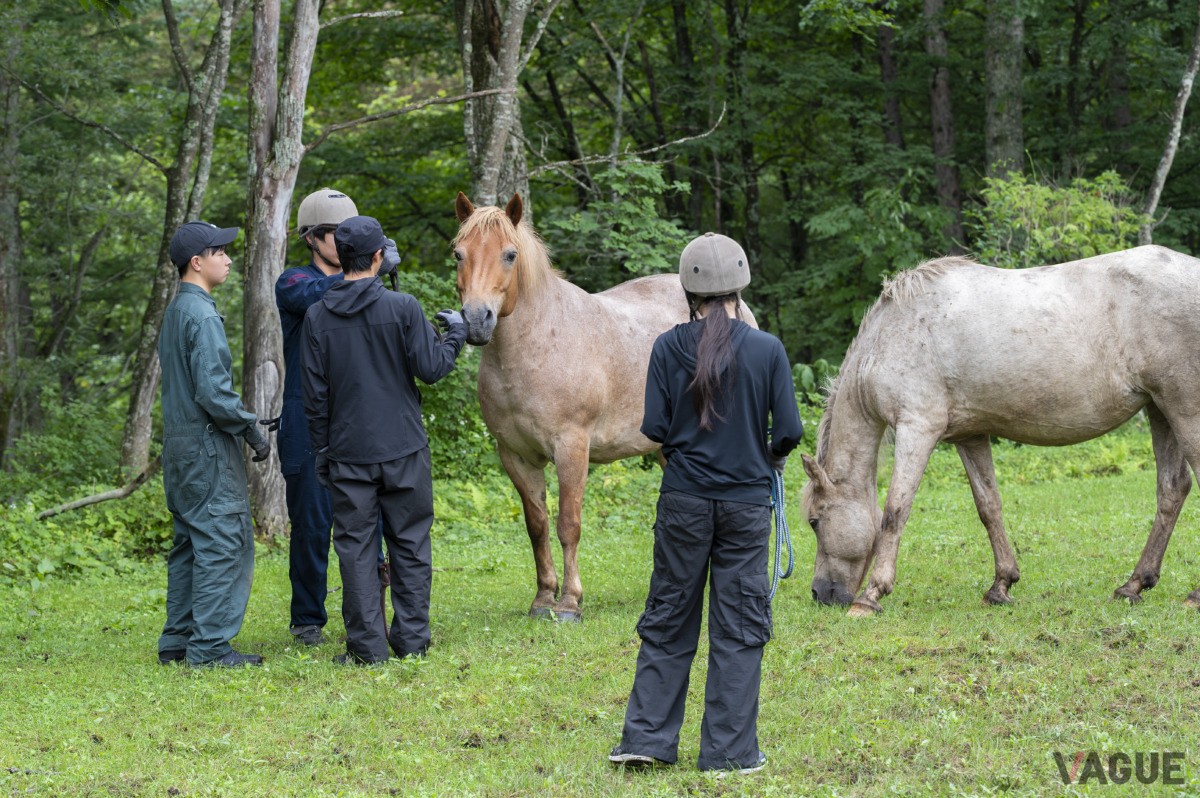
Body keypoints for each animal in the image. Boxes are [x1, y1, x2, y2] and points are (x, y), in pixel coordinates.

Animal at [451, 192, 753, 621]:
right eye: (458, 253)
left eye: (509, 254)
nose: (477, 320)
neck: (537, 346)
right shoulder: (516, 456)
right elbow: (537, 526)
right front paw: (543, 598)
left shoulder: (572, 448)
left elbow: (569, 524)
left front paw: (569, 603)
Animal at [800, 245, 1200, 617]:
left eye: (815, 521)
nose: (820, 594)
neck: (893, 334)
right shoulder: (968, 435)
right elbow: (988, 505)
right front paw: (1001, 585)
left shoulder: (918, 428)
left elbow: (895, 510)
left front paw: (871, 596)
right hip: (1160, 410)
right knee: (1172, 489)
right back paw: (1133, 585)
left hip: (1183, 410)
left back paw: (1192, 596)